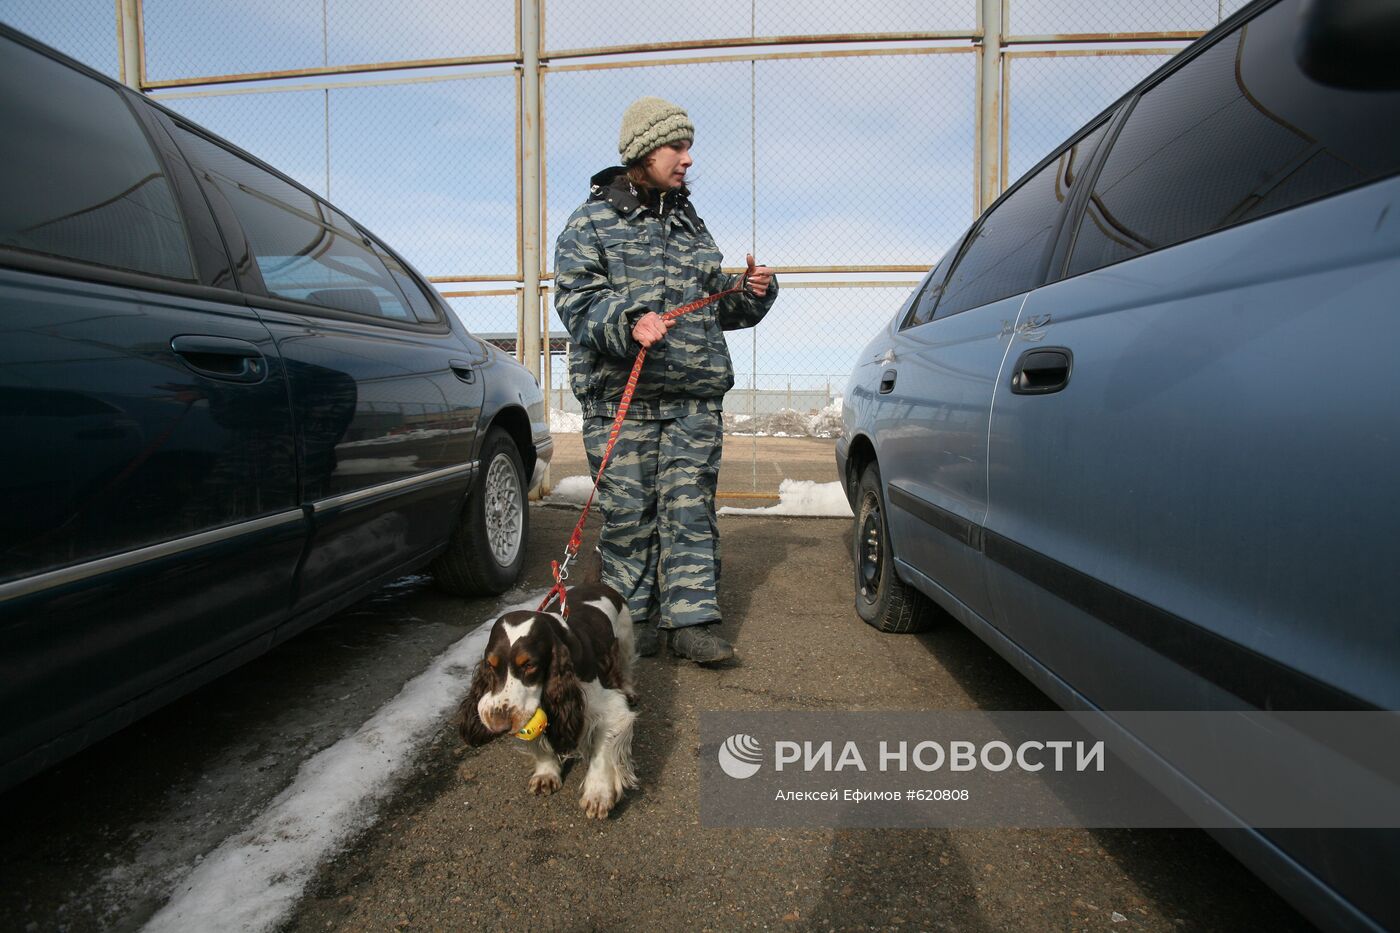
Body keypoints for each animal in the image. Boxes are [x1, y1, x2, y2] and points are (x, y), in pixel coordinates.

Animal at [456, 582, 638, 812]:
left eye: (529, 665)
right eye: (490, 664)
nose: (498, 726)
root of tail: (596, 583)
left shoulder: (611, 709)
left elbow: (602, 750)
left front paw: (598, 794)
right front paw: (546, 774)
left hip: (625, 639)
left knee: (627, 667)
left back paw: (630, 690)